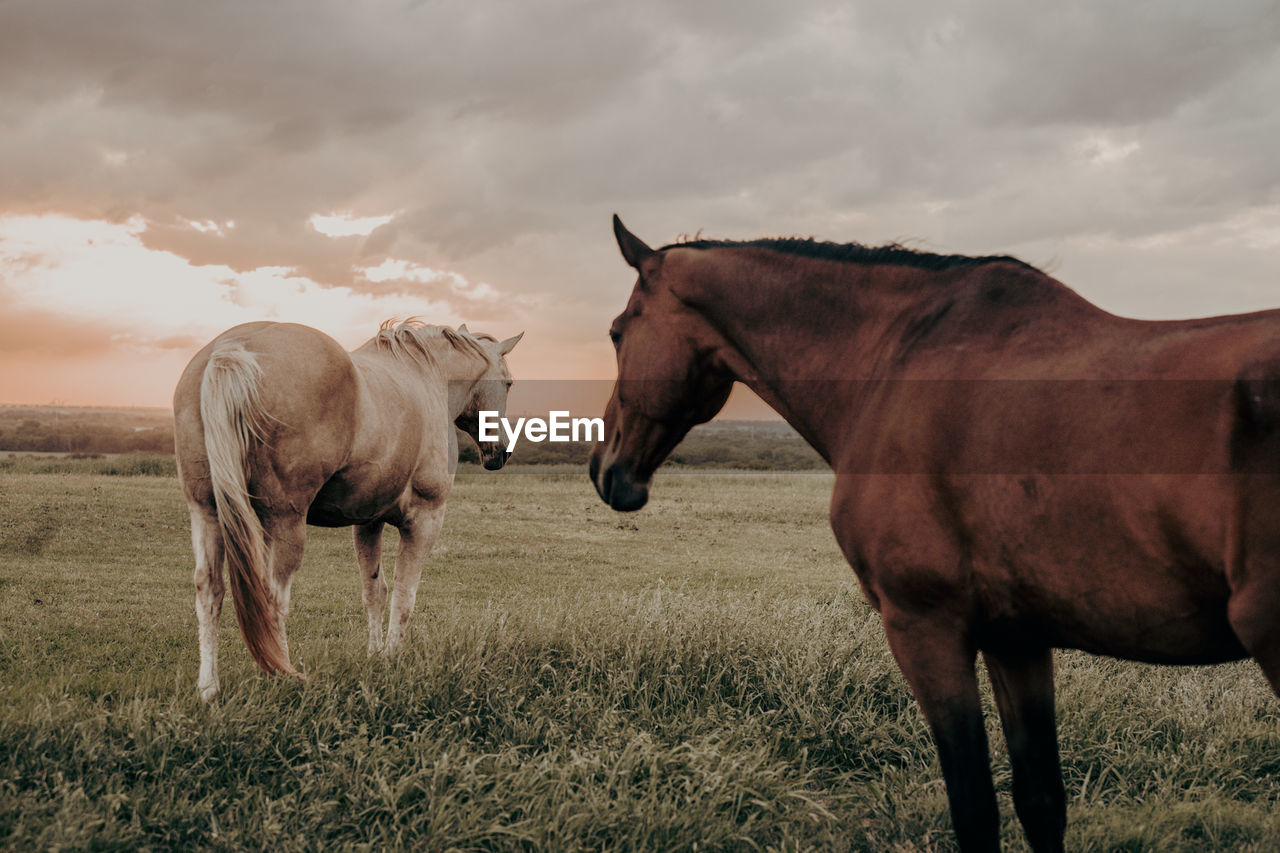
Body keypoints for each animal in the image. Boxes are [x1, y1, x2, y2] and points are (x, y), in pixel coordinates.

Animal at [174, 315, 519, 701]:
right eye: (508, 382)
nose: (501, 453)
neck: (426, 375)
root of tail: (232, 349)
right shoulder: (425, 519)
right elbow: (404, 596)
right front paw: (394, 659)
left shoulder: (367, 522)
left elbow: (374, 593)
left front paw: (376, 657)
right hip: (284, 522)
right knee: (274, 599)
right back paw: (283, 677)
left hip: (207, 512)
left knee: (210, 590)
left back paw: (209, 689)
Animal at [591, 217, 1280, 850]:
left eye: (617, 333)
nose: (606, 470)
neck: (894, 362)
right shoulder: (1016, 638)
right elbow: (1041, 802)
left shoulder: (924, 627)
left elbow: (975, 810)